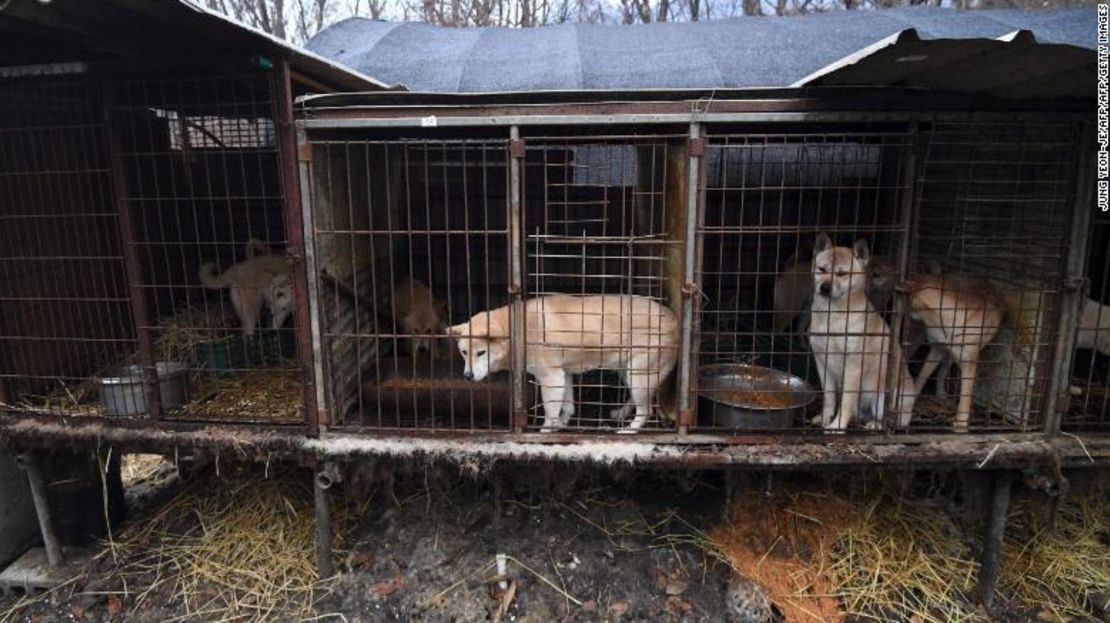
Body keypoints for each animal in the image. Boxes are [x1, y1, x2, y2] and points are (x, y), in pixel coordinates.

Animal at [444, 295, 674, 433]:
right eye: (464, 353)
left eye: (481, 353)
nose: (467, 376)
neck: (518, 332)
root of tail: (675, 319)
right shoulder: (564, 375)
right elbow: (568, 405)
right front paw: (563, 423)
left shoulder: (551, 378)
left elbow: (550, 411)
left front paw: (546, 430)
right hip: (628, 373)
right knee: (639, 401)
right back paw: (621, 413)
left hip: (638, 375)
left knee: (647, 410)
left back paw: (629, 429)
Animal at [812, 233, 914, 433]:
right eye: (822, 269)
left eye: (842, 274)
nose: (825, 287)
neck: (832, 317)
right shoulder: (822, 360)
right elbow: (829, 398)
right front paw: (825, 419)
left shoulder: (853, 365)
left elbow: (845, 402)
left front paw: (837, 426)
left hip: (884, 397)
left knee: (892, 419)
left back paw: (877, 424)